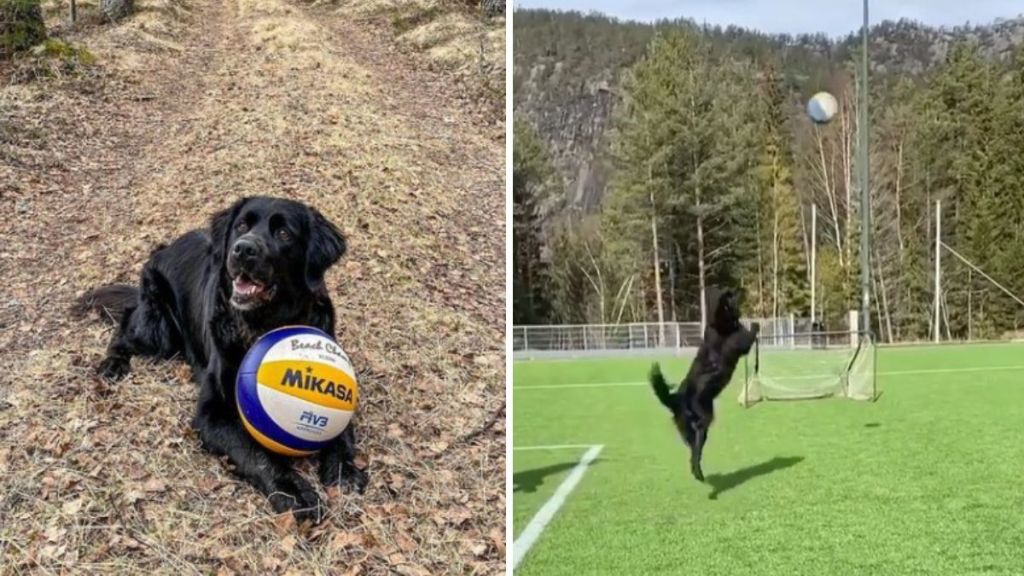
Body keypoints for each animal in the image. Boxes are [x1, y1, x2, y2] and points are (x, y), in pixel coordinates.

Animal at [73, 195, 368, 520]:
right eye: (242, 226)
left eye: (284, 234)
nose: (243, 248)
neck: (265, 324)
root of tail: (164, 248)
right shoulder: (211, 413)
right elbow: (255, 452)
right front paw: (294, 492)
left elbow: (341, 432)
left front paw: (344, 470)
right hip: (158, 332)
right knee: (126, 325)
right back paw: (113, 364)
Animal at [651, 286, 757, 479]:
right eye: (730, 294)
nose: (742, 288)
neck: (721, 324)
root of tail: (677, 399)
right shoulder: (741, 341)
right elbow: (751, 333)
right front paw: (754, 324)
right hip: (704, 414)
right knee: (697, 444)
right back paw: (698, 471)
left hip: (686, 426)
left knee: (692, 448)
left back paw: (696, 470)